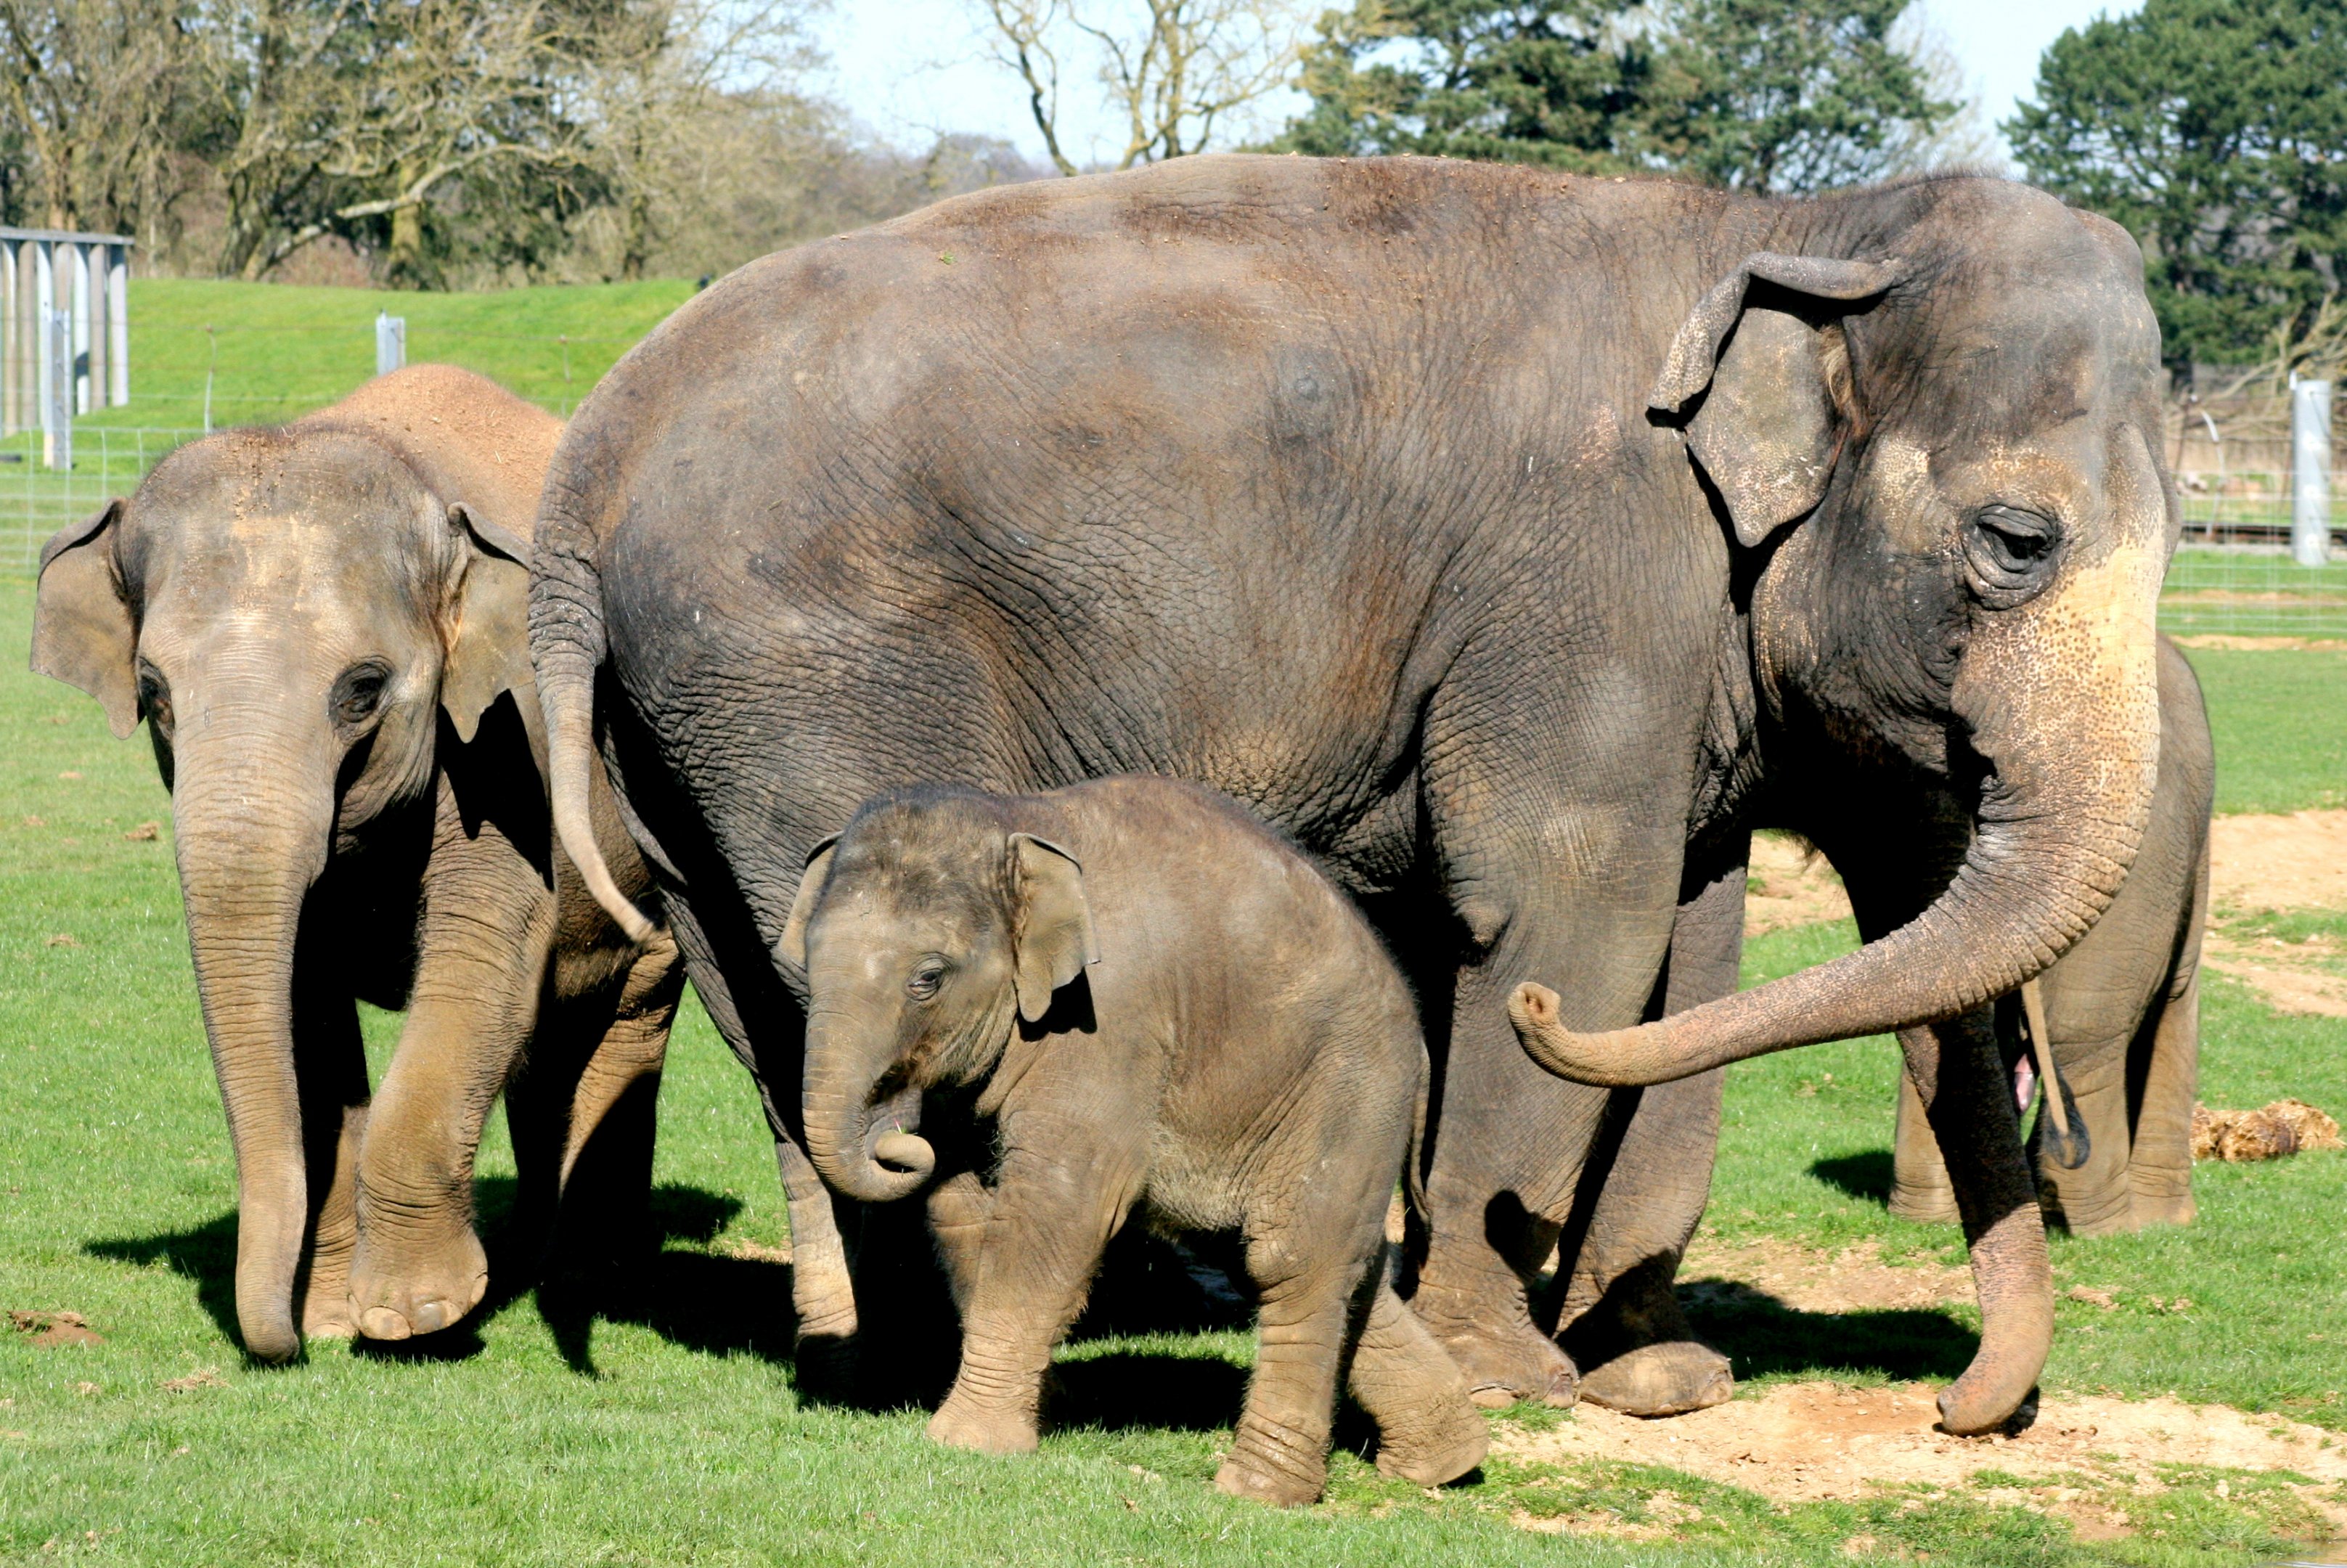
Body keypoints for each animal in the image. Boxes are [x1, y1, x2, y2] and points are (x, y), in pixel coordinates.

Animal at [31, 365, 683, 1361]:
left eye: (363, 691)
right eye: (152, 693)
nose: (281, 1347)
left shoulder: (514, 743)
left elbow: (478, 968)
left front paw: (414, 1316)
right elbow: (308, 1010)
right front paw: (335, 1317)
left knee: (623, 1015)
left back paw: (585, 1278)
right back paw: (534, 1261)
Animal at [781, 776, 1489, 1504]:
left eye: (927, 978)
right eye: (805, 963)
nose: (899, 1142)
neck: (1014, 823)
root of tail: (1417, 1027)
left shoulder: (1109, 1023)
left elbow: (1061, 1205)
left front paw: (967, 1443)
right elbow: (962, 1203)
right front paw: (1045, 1405)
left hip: (1349, 1092)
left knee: (1293, 1261)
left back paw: (1256, 1491)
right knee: (1311, 1259)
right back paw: (1443, 1463)